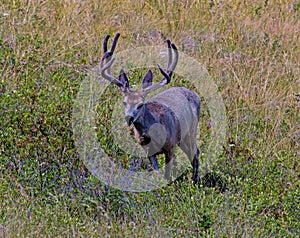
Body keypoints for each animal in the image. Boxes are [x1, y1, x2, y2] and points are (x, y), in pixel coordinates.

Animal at [99, 32, 200, 183]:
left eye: (141, 104)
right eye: (124, 102)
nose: (129, 118)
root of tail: (194, 94)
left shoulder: (170, 146)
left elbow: (167, 174)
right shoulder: (147, 150)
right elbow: (158, 173)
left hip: (191, 131)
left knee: (196, 153)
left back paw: (195, 180)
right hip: (182, 138)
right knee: (192, 153)